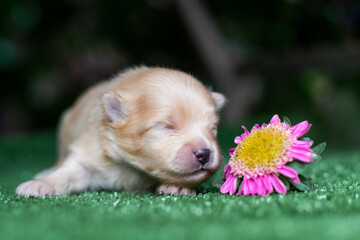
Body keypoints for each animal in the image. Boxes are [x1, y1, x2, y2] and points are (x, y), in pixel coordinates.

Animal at [16, 66, 226, 197]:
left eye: (212, 128)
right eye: (167, 126)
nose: (204, 153)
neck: (132, 168)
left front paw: (178, 186)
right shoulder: (90, 151)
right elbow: (67, 173)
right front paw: (39, 185)